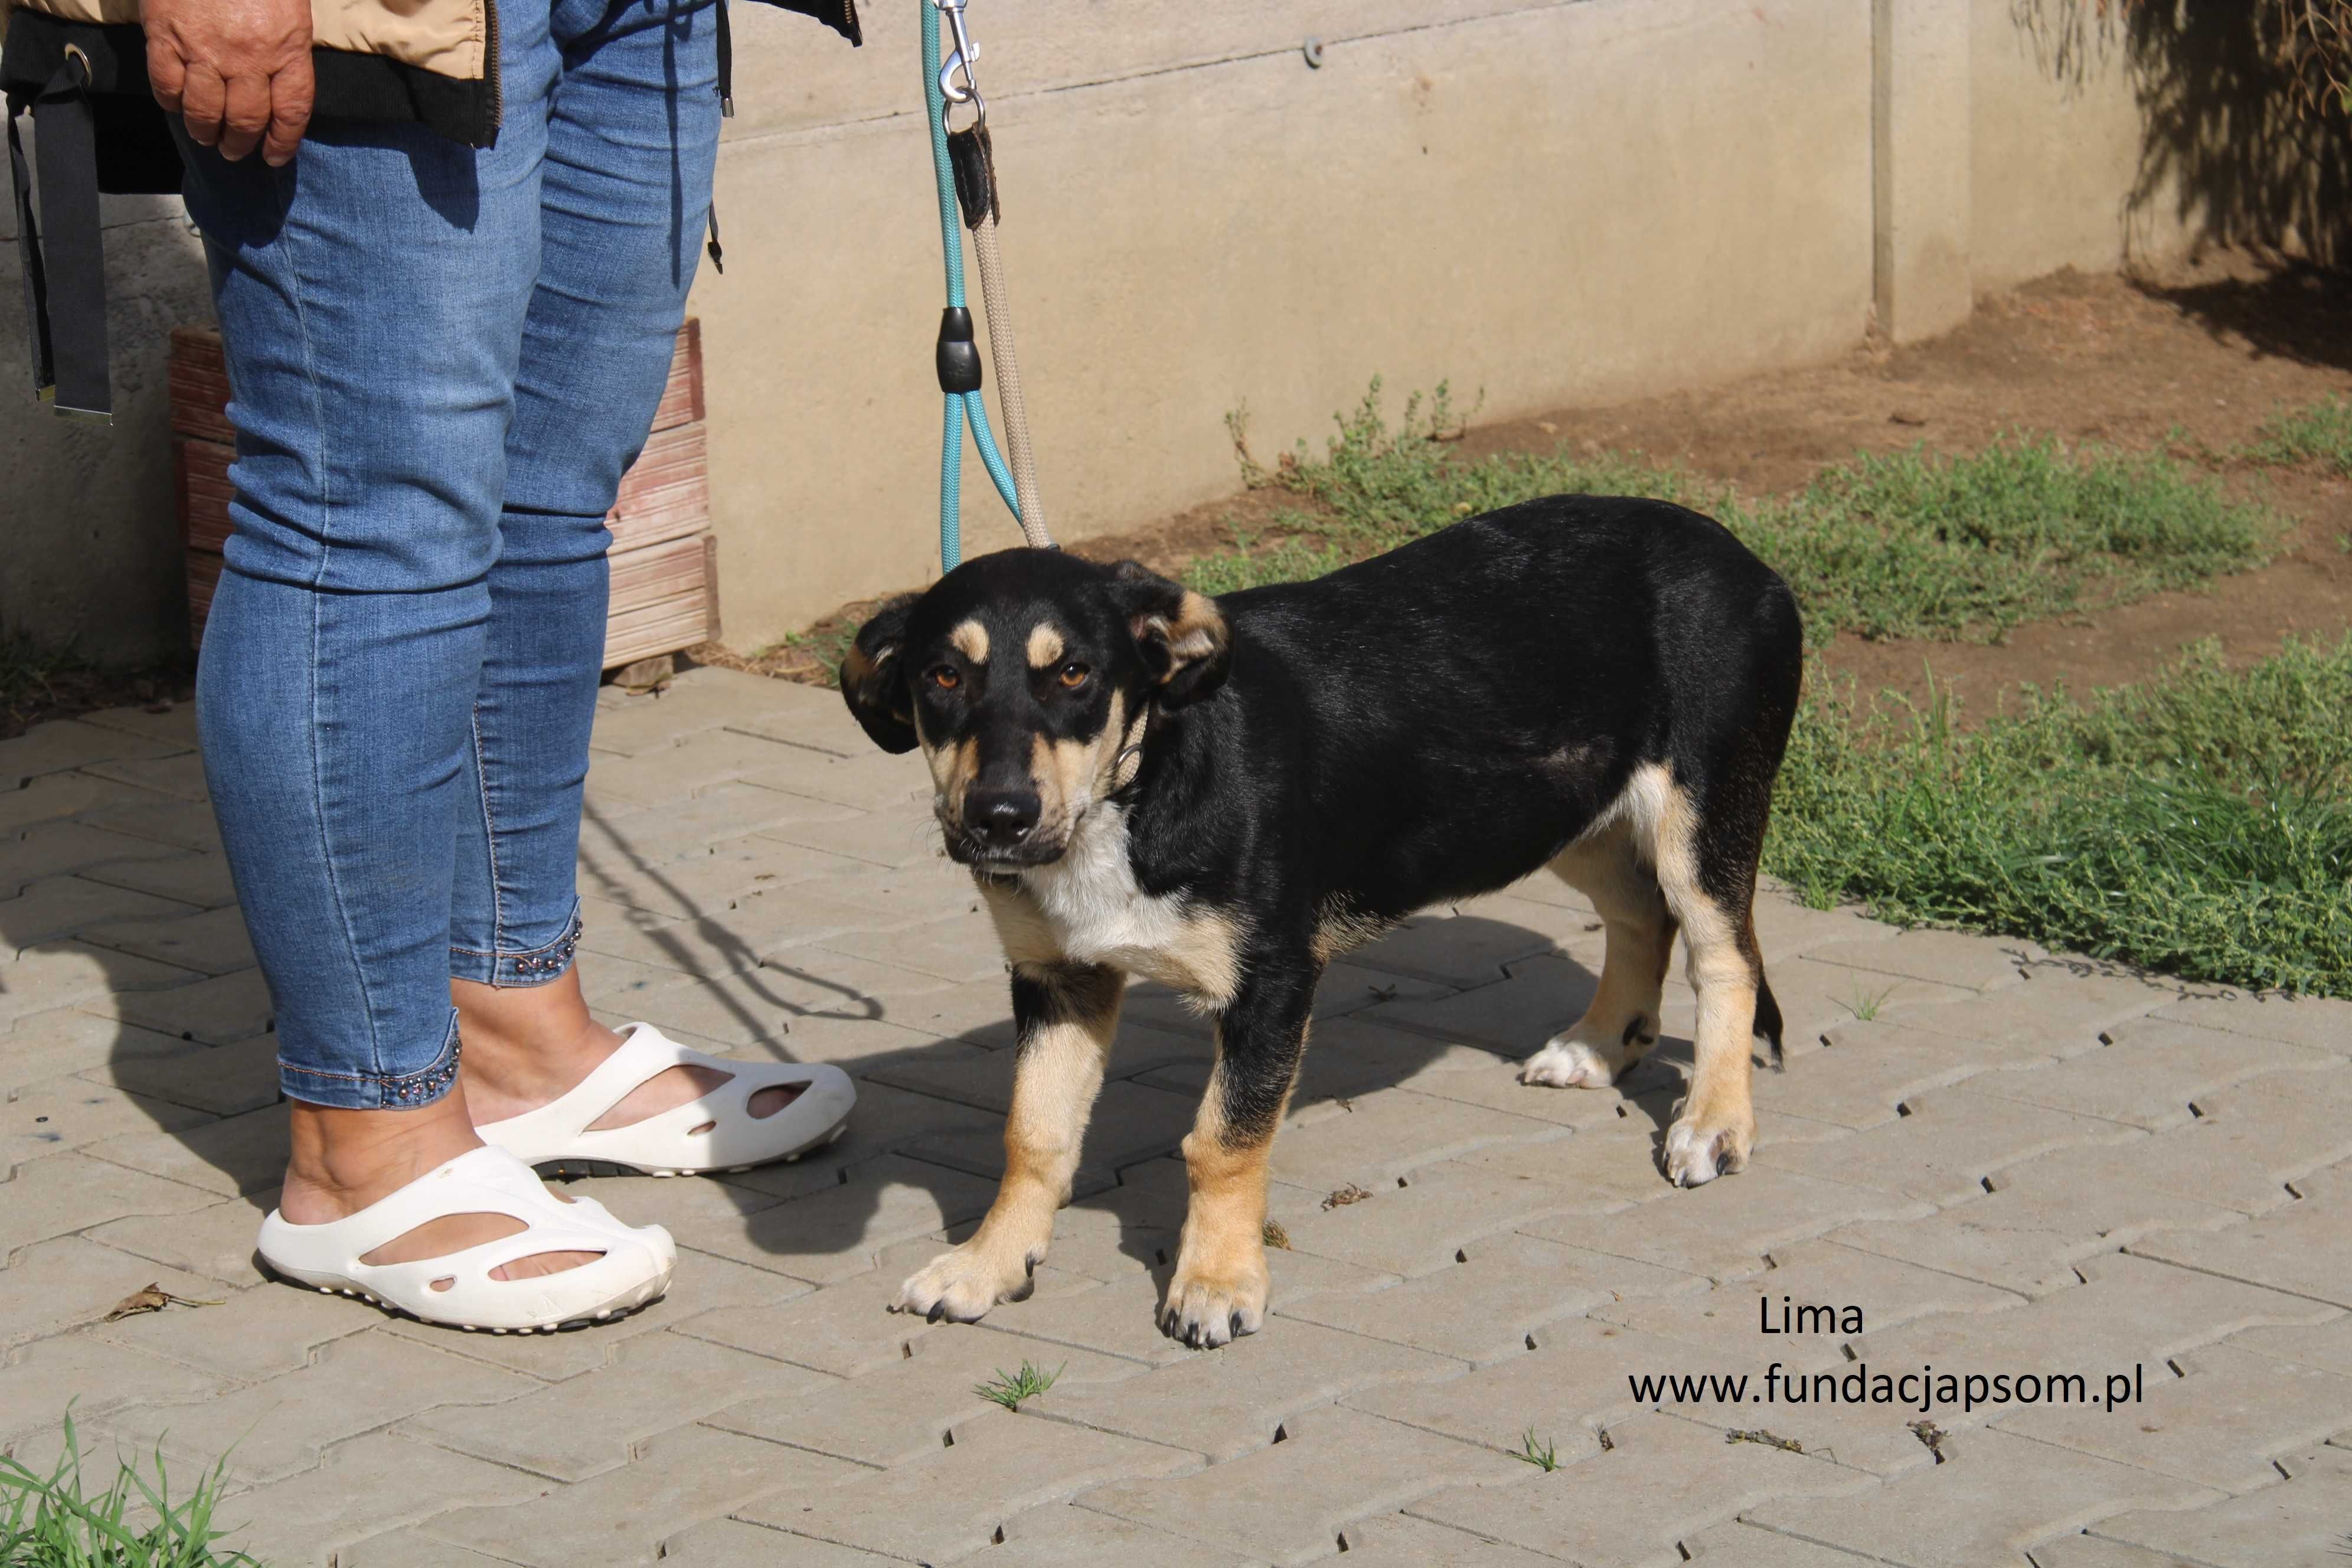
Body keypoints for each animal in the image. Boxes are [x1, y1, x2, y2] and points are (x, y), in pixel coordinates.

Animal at [847, 501, 1796, 1354]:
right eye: (942, 677)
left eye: (1075, 674)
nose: (999, 818)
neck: (1139, 784)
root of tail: (1742, 557)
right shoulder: (1059, 978)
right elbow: (1033, 1134)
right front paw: (988, 1264)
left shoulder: (1271, 983)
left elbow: (1221, 1143)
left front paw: (1216, 1284)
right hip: (1561, 810)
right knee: (1641, 917)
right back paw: (1600, 1046)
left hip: (1701, 812)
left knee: (1727, 960)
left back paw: (1715, 1122)